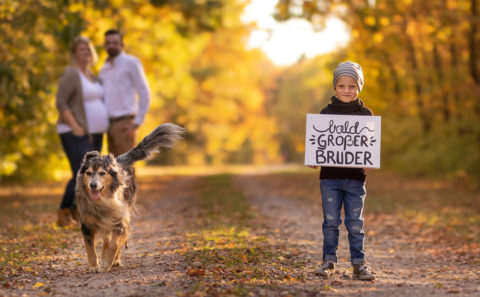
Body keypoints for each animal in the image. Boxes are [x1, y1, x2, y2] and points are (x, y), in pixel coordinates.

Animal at [74, 122, 185, 270]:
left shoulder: (121, 219)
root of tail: (119, 160)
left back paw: (114, 259)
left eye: (102, 173)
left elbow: (115, 243)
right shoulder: (86, 223)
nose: (93, 185)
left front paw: (108, 261)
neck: (102, 201)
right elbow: (90, 247)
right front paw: (94, 266)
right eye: (88, 173)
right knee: (106, 238)